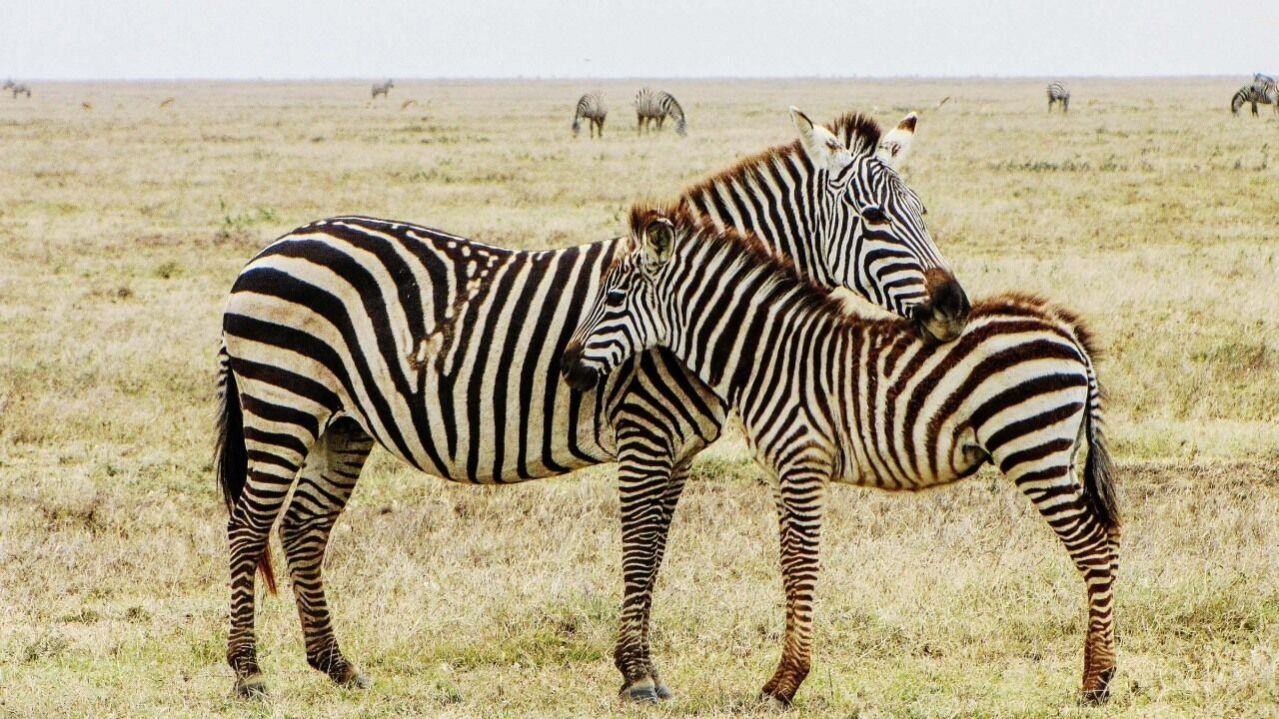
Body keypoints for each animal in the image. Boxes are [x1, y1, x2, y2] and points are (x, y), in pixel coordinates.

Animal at [215, 106, 969, 699]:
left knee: (302, 528)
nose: (955, 308)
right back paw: (249, 673)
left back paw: (337, 666)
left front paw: (639, 665)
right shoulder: (644, 435)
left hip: (341, 423)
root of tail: (271, 248)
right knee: (250, 524)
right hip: (282, 402)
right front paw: (637, 675)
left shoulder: (679, 450)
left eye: (923, 212)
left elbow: (655, 552)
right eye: (874, 217)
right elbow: (636, 548)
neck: (688, 308)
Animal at [562, 205, 1121, 706]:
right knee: (1110, 539)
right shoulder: (782, 470)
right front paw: (785, 678)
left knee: (1093, 546)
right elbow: (789, 564)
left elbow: (800, 564)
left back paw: (1095, 683)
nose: (567, 367)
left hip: (1033, 449)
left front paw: (784, 684)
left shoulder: (802, 461)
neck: (766, 357)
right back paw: (1103, 671)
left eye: (613, 298)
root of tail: (1064, 330)